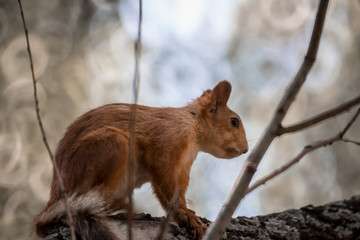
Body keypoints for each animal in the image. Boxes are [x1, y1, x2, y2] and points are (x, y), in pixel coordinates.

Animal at [33, 81, 248, 240]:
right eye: (234, 121)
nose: (246, 149)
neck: (193, 126)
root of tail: (56, 194)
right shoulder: (166, 146)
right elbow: (166, 188)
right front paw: (183, 214)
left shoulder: (183, 167)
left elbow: (178, 190)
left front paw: (189, 212)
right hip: (110, 146)